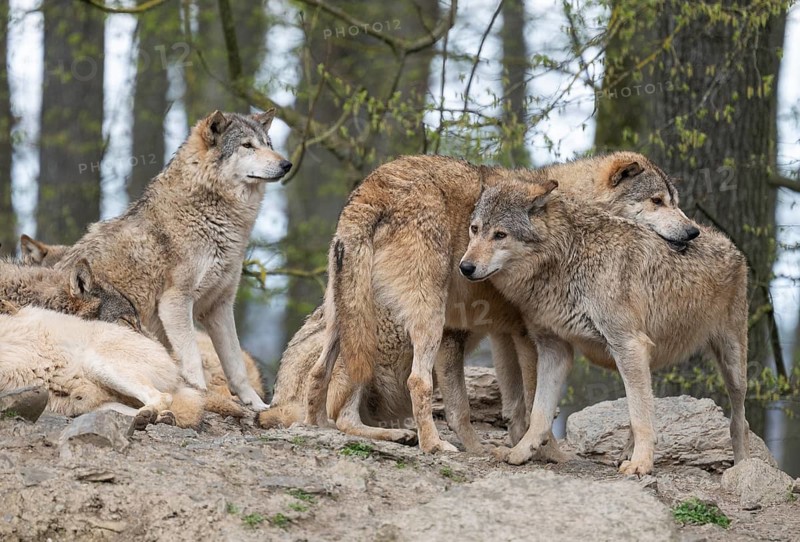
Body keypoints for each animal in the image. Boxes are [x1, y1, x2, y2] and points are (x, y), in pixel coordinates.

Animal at [55, 110, 291, 410]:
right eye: (248, 146)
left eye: (268, 144)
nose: (287, 164)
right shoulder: (175, 303)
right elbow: (192, 362)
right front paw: (201, 396)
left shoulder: (219, 306)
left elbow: (236, 366)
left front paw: (257, 406)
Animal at [304, 152, 700, 453]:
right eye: (657, 202)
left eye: (675, 202)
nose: (694, 231)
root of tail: (372, 190)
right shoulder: (528, 335)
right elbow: (535, 398)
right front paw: (548, 454)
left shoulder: (503, 335)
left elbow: (514, 403)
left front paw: (514, 444)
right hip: (422, 322)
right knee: (414, 383)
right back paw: (432, 445)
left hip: (349, 323)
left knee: (320, 376)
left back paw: (318, 429)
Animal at [460, 180, 749, 474]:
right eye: (475, 229)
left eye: (500, 235)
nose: (465, 267)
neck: (569, 257)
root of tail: (728, 242)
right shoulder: (555, 349)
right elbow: (539, 414)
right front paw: (520, 452)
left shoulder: (627, 343)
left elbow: (640, 418)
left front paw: (641, 464)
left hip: (733, 369)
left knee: (740, 421)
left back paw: (743, 466)